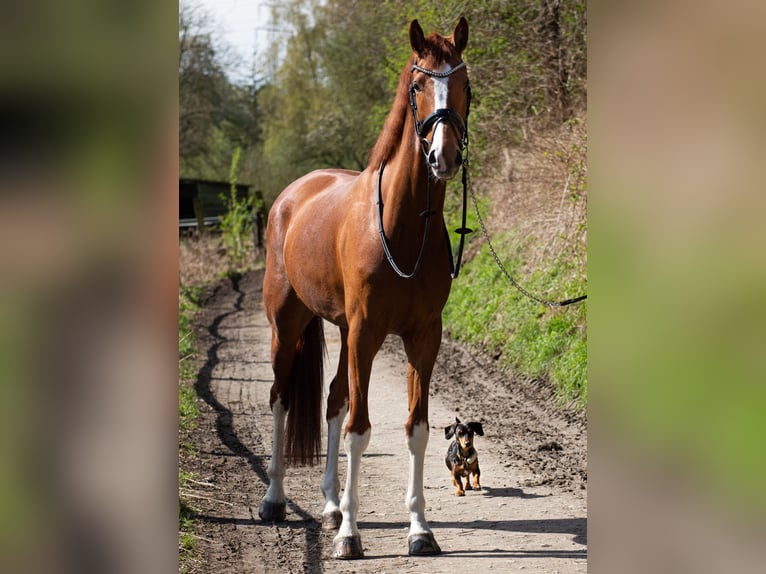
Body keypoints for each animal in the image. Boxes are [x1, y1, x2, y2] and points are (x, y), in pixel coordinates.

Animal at [260, 19, 472, 564]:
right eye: (418, 85)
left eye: (465, 83)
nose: (443, 156)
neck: (402, 227)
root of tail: (292, 194)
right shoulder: (366, 334)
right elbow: (360, 430)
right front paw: (350, 537)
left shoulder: (423, 338)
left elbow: (416, 429)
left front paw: (419, 529)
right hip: (288, 325)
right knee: (281, 399)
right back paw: (274, 499)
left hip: (341, 332)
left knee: (333, 400)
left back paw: (332, 505)